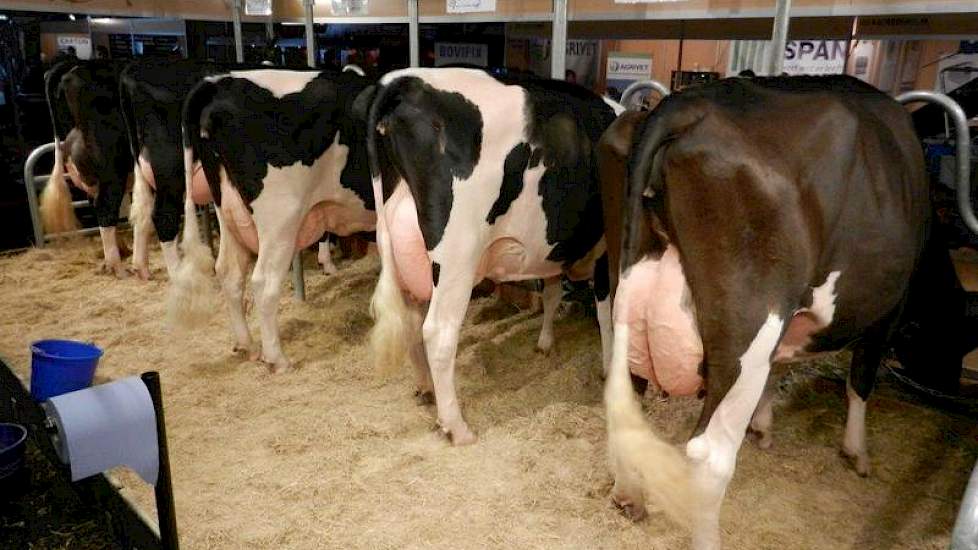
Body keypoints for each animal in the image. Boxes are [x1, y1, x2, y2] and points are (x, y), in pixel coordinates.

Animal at [170, 68, 376, 370]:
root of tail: (219, 81)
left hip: (227, 207)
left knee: (229, 271)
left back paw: (247, 345)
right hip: (280, 218)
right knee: (263, 281)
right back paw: (277, 359)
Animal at [362, 69, 620, 448]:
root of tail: (407, 80)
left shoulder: (551, 253)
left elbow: (552, 294)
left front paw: (545, 343)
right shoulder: (605, 250)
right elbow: (606, 314)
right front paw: (608, 368)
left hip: (398, 248)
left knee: (411, 322)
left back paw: (426, 390)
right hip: (456, 257)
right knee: (438, 332)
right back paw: (457, 427)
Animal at [600, 76, 948, 548]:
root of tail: (684, 103)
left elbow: (781, 370)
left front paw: (763, 424)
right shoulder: (891, 310)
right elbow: (861, 380)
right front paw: (856, 451)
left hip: (629, 295)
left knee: (624, 400)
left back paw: (629, 495)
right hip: (749, 324)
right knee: (709, 455)